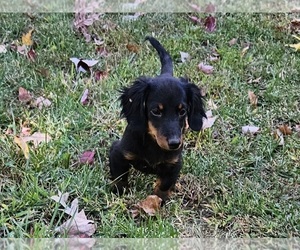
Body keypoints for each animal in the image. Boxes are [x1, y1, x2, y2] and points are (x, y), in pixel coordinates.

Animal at [109, 36, 205, 201]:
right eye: (156, 111)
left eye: (183, 111)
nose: (175, 143)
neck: (152, 143)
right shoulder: (118, 153)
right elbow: (120, 179)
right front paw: (120, 194)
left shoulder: (174, 164)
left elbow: (164, 186)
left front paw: (158, 201)